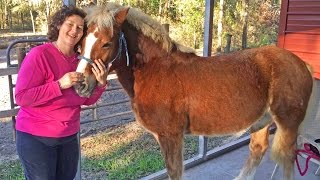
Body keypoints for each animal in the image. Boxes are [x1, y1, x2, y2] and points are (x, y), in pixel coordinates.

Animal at [74, 3, 316, 180]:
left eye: (107, 43)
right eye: (81, 42)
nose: (81, 84)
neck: (155, 69)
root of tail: (301, 63)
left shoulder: (171, 136)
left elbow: (175, 172)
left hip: (288, 123)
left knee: (287, 159)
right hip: (261, 120)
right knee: (258, 149)